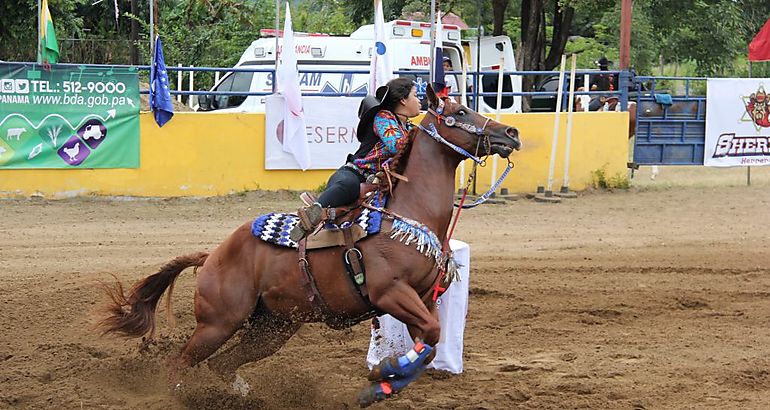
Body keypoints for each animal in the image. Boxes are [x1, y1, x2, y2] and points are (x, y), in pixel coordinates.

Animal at [99, 85, 520, 406]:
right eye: (460, 110)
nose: (512, 133)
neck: (408, 213)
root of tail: (213, 255)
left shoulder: (423, 297)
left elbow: (431, 341)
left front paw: (380, 384)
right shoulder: (392, 294)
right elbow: (430, 336)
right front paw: (384, 371)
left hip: (272, 328)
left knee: (223, 364)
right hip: (218, 323)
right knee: (181, 363)